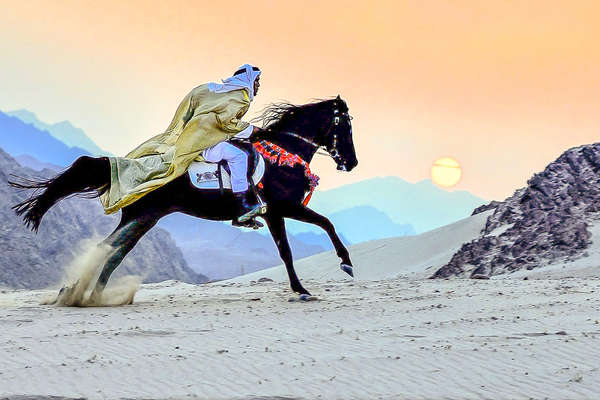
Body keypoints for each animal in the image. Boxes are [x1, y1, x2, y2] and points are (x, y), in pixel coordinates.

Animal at [10, 96, 356, 304]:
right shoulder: (280, 209)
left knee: (111, 252)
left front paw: (333, 269)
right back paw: (82, 294)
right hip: (143, 217)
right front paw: (327, 274)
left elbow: (318, 229)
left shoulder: (283, 210)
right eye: (345, 126)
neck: (282, 156)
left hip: (142, 218)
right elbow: (302, 240)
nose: (351, 163)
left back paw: (88, 295)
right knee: (110, 251)